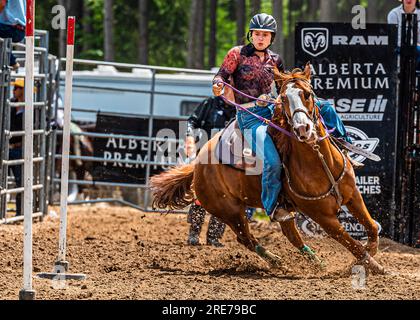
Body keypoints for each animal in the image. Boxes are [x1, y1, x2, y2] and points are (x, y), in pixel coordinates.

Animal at [150, 64, 384, 276]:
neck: (319, 159)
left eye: (307, 94)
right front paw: (371, 265)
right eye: (284, 99)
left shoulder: (353, 196)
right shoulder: (322, 216)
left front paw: (371, 257)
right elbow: (352, 243)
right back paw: (277, 261)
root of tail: (197, 164)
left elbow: (372, 227)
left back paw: (317, 263)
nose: (303, 129)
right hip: (229, 211)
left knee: (290, 234)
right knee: (246, 238)